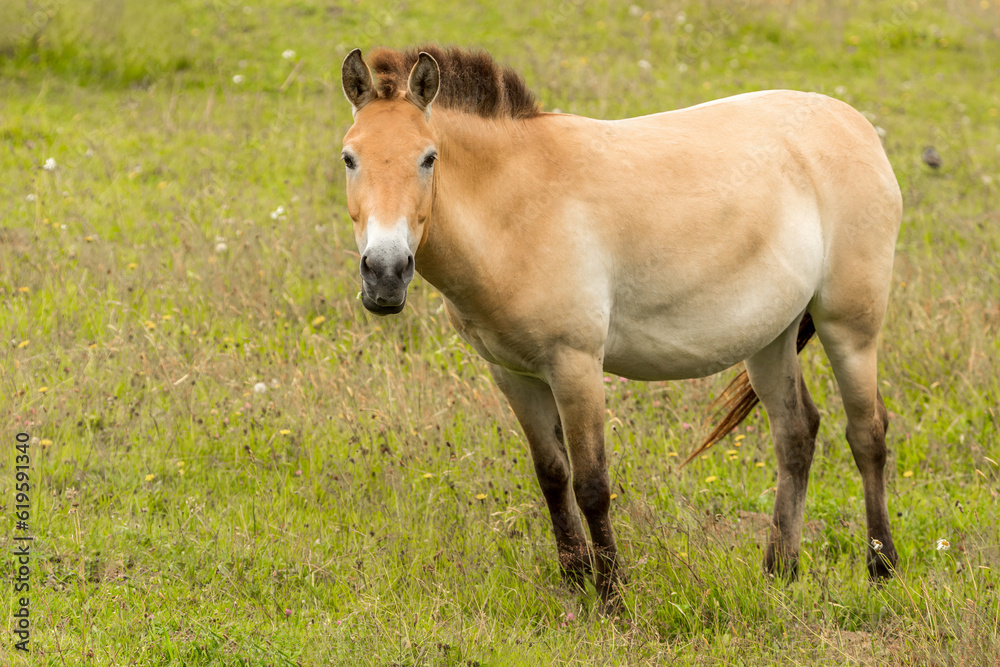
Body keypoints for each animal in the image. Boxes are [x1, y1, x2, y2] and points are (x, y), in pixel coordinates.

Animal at [340, 45, 904, 604]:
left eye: (428, 158)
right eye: (349, 158)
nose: (385, 273)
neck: (515, 209)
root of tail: (853, 122)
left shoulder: (576, 366)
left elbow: (591, 485)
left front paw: (612, 596)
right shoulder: (514, 375)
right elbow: (552, 477)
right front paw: (574, 583)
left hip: (849, 328)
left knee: (867, 433)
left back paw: (882, 569)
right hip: (770, 336)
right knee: (796, 434)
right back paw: (779, 572)